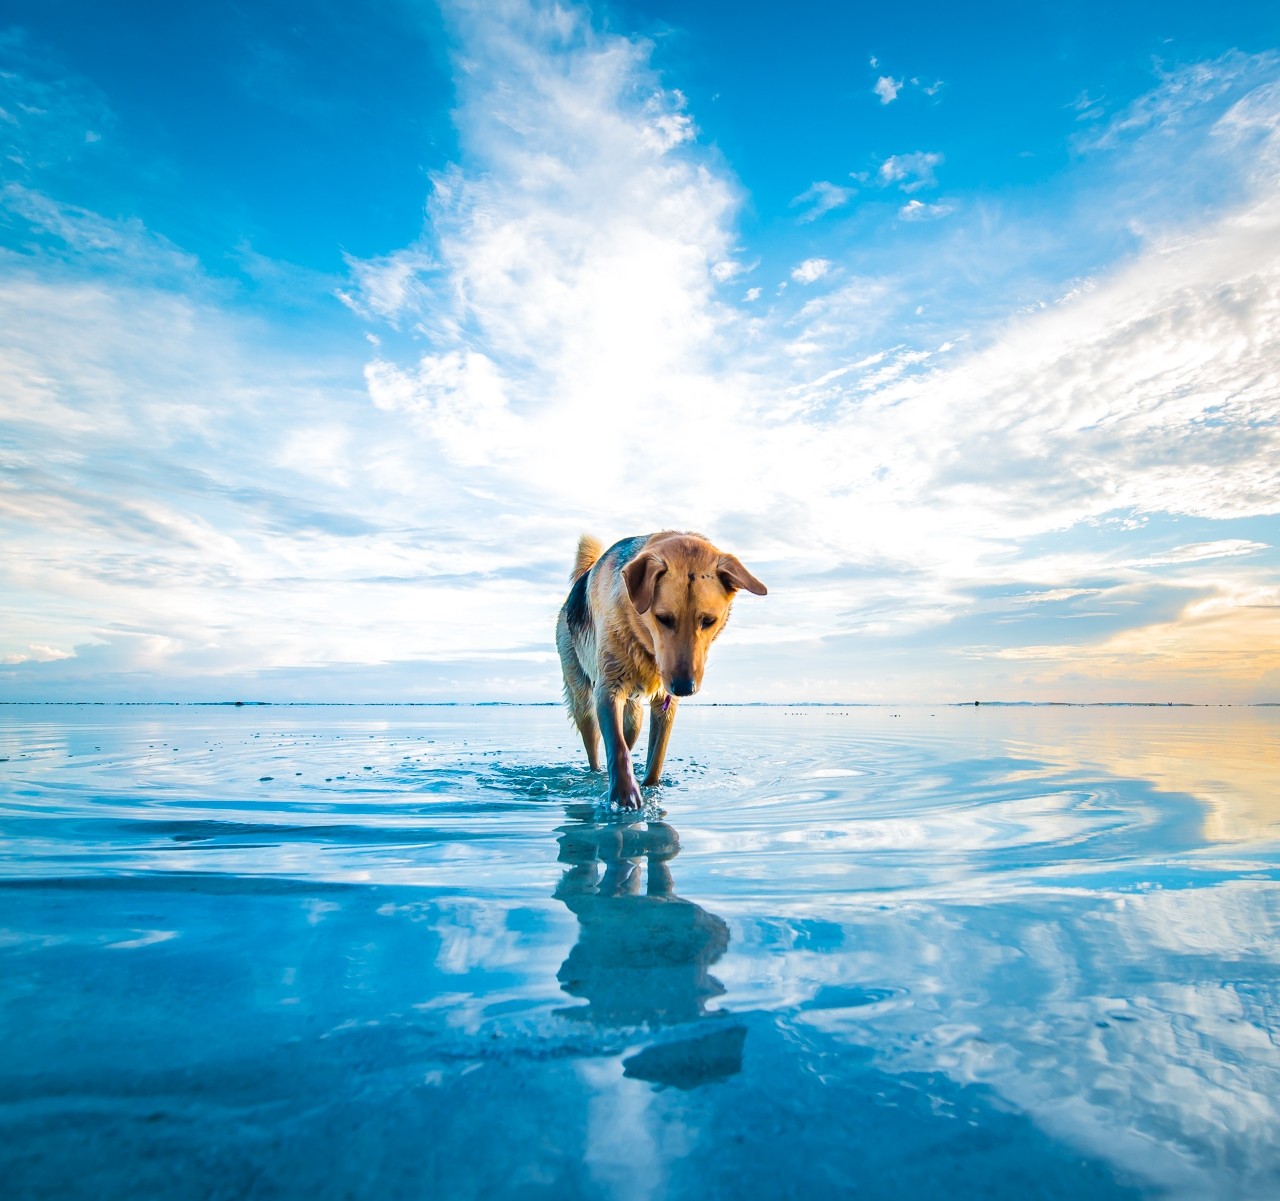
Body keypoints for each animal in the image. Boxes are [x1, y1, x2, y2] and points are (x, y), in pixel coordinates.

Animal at [552, 530, 768, 804]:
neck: (644, 643)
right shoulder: (608, 689)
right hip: (583, 703)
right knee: (595, 746)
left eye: (709, 621)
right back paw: (596, 776)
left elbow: (656, 757)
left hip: (634, 717)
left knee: (629, 736)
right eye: (663, 618)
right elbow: (616, 747)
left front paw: (650, 788)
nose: (685, 688)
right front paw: (625, 794)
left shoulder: (665, 703)